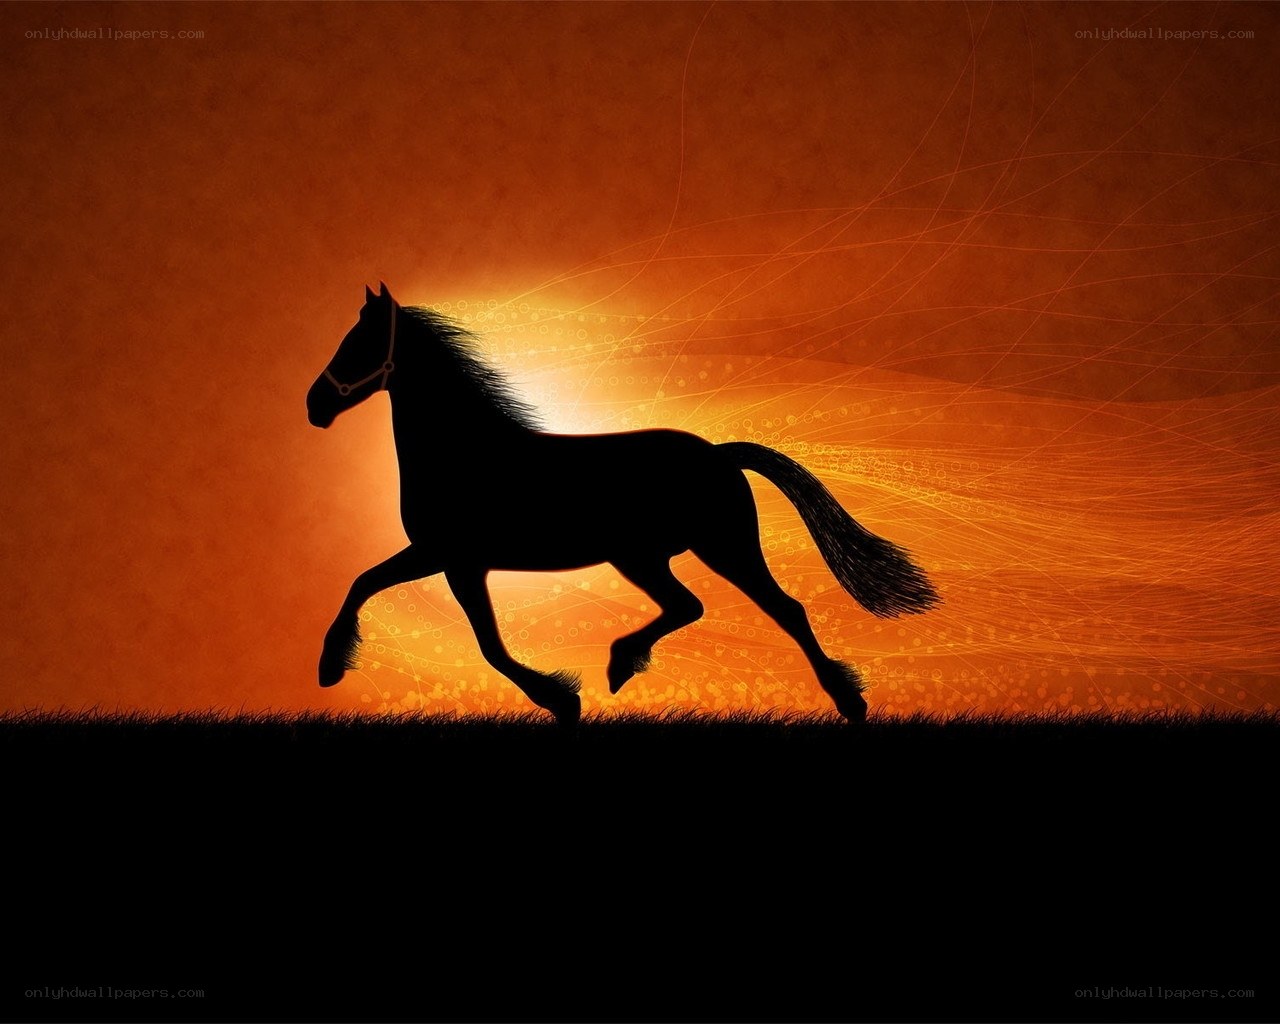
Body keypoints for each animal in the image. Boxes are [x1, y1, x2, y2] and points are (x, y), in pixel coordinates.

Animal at [307, 283, 939, 726]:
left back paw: (848, 703)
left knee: (783, 610)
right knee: (690, 606)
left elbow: (483, 643)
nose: (314, 405)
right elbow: (367, 584)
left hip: (717, 548)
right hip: (646, 557)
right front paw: (331, 667)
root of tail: (718, 453)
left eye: (359, 343)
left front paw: (561, 699)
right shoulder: (444, 557)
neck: (464, 451)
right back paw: (622, 663)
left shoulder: (454, 558)